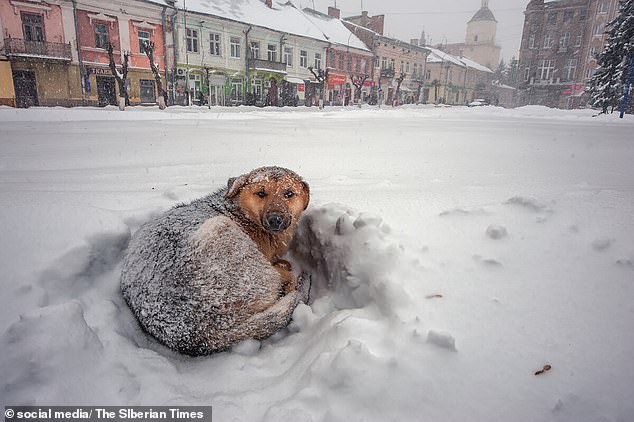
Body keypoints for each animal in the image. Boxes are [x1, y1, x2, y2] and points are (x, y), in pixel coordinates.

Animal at [119, 166, 310, 354]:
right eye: (261, 193)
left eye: (289, 193)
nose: (275, 220)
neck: (241, 214)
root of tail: (202, 335)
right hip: (224, 234)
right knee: (282, 281)